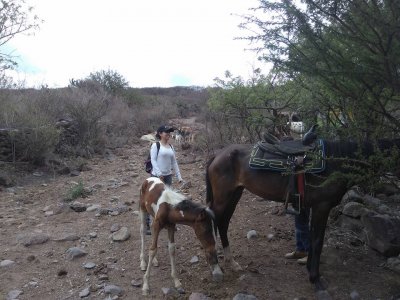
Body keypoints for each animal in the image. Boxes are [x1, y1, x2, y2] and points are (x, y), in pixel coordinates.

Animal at [206, 138, 400, 290]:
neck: (335, 163)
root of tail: (218, 155)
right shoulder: (322, 207)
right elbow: (318, 241)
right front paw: (315, 279)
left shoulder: (315, 207)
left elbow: (313, 238)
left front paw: (309, 269)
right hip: (223, 198)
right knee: (212, 222)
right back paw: (216, 267)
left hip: (234, 195)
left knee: (223, 223)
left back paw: (232, 262)